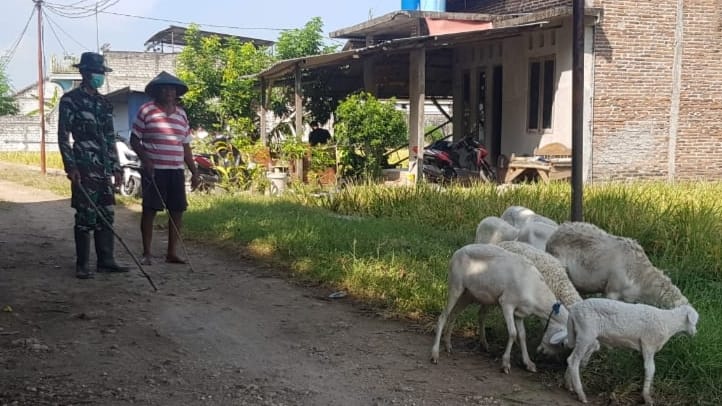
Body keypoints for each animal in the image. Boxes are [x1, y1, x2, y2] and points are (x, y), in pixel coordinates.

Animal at [428, 244, 568, 374]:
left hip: (467, 294)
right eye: (562, 343)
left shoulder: (520, 313)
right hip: (455, 286)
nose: (543, 354)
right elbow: (513, 333)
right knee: (443, 317)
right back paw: (435, 354)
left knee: (453, 314)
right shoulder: (507, 303)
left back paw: (448, 345)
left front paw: (529, 363)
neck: (536, 291)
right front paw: (505, 364)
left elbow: (522, 335)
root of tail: (458, 251)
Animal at [564, 296, 696, 404]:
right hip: (586, 333)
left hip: (582, 335)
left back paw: (569, 385)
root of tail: (573, 310)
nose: (695, 333)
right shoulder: (648, 343)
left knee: (572, 359)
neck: (669, 322)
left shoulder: (645, 346)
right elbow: (650, 369)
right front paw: (647, 397)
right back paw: (581, 395)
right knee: (573, 361)